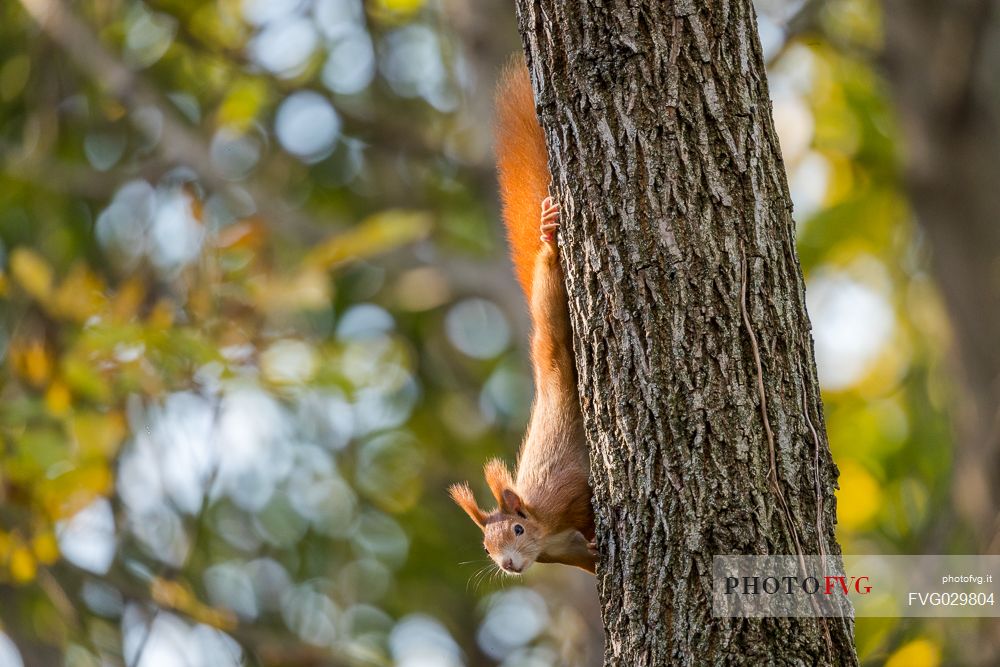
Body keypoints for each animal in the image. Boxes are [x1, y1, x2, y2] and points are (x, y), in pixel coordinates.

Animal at [446, 60, 592, 576]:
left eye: (517, 529)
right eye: (485, 545)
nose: (508, 565)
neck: (547, 527)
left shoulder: (567, 494)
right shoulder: (564, 552)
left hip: (552, 337)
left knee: (550, 299)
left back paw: (549, 237)